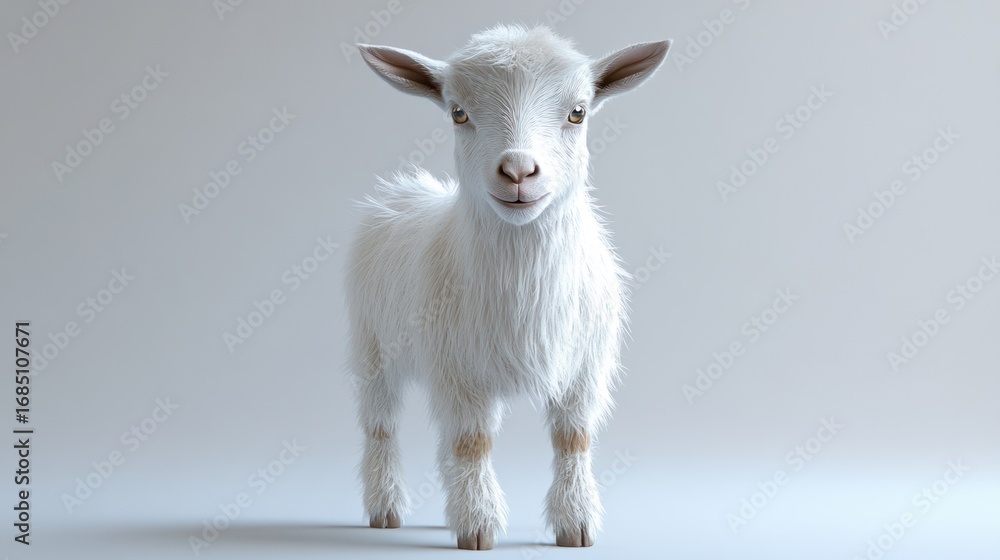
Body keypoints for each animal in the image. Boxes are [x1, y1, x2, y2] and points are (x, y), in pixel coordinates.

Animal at [347, 24, 670, 550]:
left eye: (578, 112)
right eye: (458, 112)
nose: (518, 171)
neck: (524, 289)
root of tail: (405, 189)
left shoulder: (585, 366)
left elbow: (572, 438)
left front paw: (575, 524)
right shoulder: (456, 367)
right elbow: (472, 442)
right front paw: (478, 527)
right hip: (372, 345)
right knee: (381, 425)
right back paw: (385, 509)